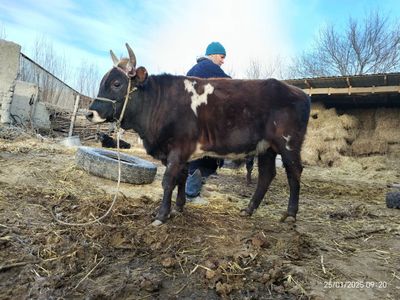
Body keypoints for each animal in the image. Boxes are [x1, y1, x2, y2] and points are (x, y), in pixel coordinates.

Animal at [86, 44, 312, 225]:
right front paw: (179, 207)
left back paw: (290, 214)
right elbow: (182, 177)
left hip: (288, 143)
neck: (160, 102)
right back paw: (248, 209)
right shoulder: (181, 153)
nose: (90, 113)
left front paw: (161, 215)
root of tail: (299, 92)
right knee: (266, 175)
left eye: (117, 84)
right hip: (266, 147)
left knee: (294, 172)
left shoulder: (178, 149)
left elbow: (168, 180)